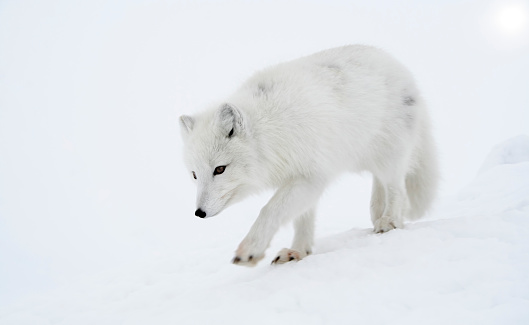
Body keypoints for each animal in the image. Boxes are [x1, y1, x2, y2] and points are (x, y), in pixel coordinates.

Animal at [178, 44, 438, 264]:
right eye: (194, 175)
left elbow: (270, 210)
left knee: (397, 188)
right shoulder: (299, 177)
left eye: (220, 169)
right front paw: (298, 251)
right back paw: (378, 214)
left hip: (390, 156)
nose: (199, 213)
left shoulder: (310, 175)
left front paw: (250, 249)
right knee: (381, 183)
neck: (270, 130)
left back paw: (390, 220)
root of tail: (399, 66)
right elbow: (302, 219)